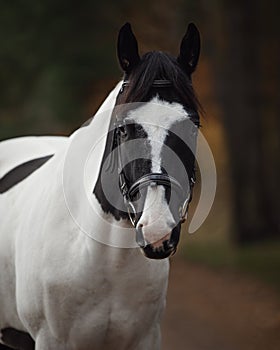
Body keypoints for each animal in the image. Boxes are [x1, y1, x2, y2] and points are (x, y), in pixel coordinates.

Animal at [0, 22, 201, 350]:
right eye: (124, 129)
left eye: (192, 127)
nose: (157, 231)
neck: (102, 255)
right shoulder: (51, 340)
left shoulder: (145, 339)